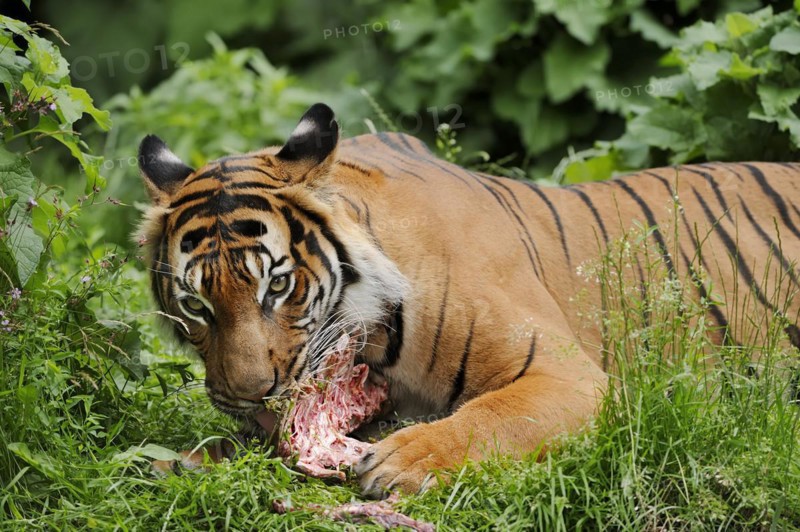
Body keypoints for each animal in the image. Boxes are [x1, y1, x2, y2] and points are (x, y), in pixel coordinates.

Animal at [138, 102, 800, 498]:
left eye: (278, 285)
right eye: (197, 307)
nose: (252, 396)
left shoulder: (570, 377)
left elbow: (493, 416)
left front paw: (402, 462)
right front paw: (179, 459)